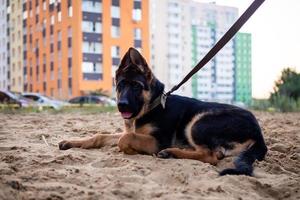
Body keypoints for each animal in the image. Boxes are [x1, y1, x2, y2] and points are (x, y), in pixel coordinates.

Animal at [58, 47, 268, 176]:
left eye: (136, 86)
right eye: (121, 85)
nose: (122, 105)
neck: (152, 105)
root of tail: (258, 133)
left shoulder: (157, 140)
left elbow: (124, 139)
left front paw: (132, 150)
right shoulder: (129, 129)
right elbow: (100, 136)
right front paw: (71, 142)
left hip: (197, 123)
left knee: (211, 156)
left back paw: (171, 152)